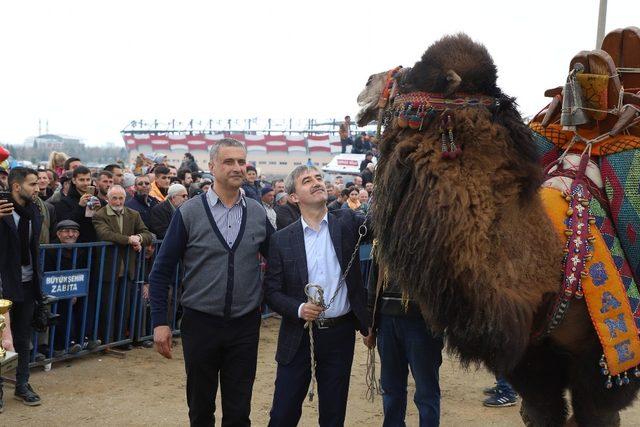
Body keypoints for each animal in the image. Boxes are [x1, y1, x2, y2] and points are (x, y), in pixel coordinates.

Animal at [360, 34, 640, 427]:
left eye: (418, 74)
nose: (368, 84)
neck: (557, 264)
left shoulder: (608, 358)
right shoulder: (533, 360)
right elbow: (542, 412)